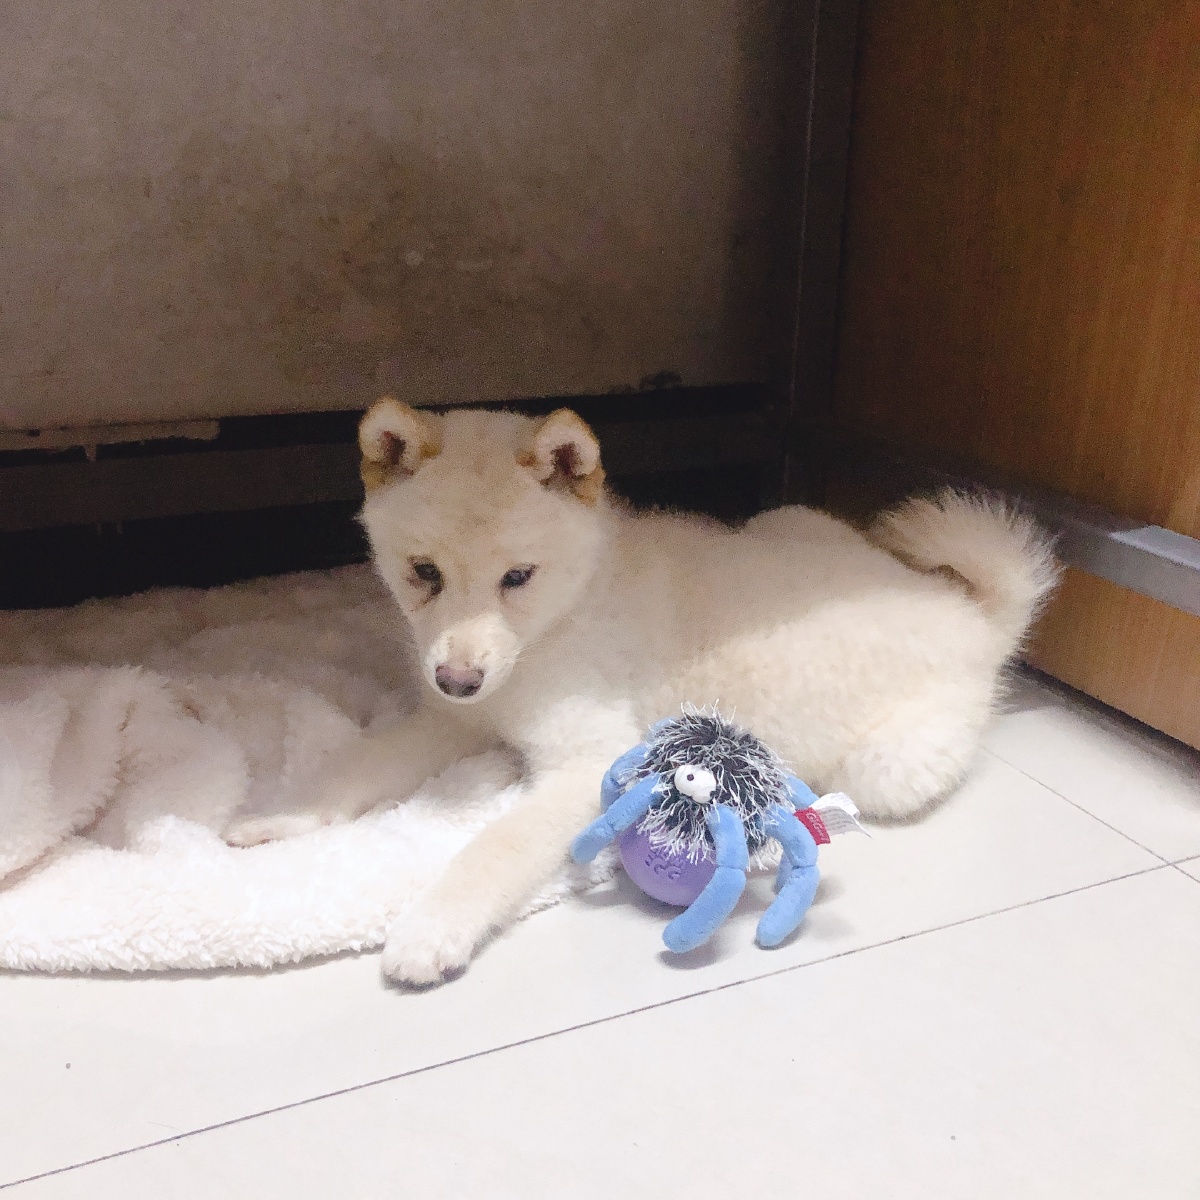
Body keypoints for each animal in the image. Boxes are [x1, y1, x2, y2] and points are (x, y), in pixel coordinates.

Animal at [225, 399, 1057, 986]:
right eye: (424, 572)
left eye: (517, 577)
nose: (458, 679)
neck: (563, 618)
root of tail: (970, 612)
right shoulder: (455, 721)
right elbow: (360, 764)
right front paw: (281, 814)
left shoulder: (585, 758)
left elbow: (494, 846)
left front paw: (431, 927)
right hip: (785, 517)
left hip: (891, 766)